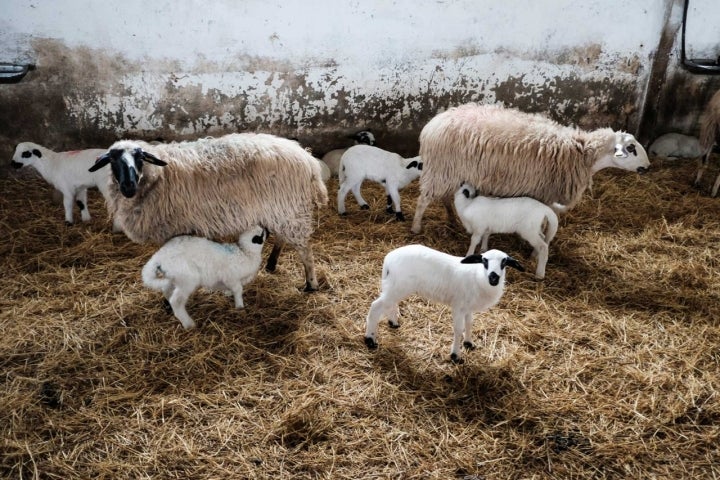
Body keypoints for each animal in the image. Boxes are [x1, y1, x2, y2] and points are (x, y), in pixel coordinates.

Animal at [88, 134, 332, 292]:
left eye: (139, 158)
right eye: (112, 160)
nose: (128, 186)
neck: (159, 176)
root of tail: (306, 158)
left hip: (288, 208)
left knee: (305, 249)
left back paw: (311, 284)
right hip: (281, 209)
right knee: (283, 236)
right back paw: (272, 264)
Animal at [366, 244, 524, 364]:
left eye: (504, 262)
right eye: (484, 261)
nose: (494, 277)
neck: (477, 277)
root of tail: (389, 258)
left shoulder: (468, 307)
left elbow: (469, 323)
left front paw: (469, 343)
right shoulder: (458, 307)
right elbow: (458, 329)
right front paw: (455, 355)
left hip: (396, 286)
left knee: (389, 304)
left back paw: (393, 322)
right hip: (399, 286)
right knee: (376, 307)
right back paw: (370, 339)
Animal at [410, 103, 652, 234]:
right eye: (631, 148)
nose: (648, 167)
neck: (582, 153)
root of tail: (432, 125)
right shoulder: (545, 194)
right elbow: (545, 220)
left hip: (450, 172)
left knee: (444, 197)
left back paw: (451, 218)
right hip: (441, 169)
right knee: (423, 200)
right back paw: (416, 227)